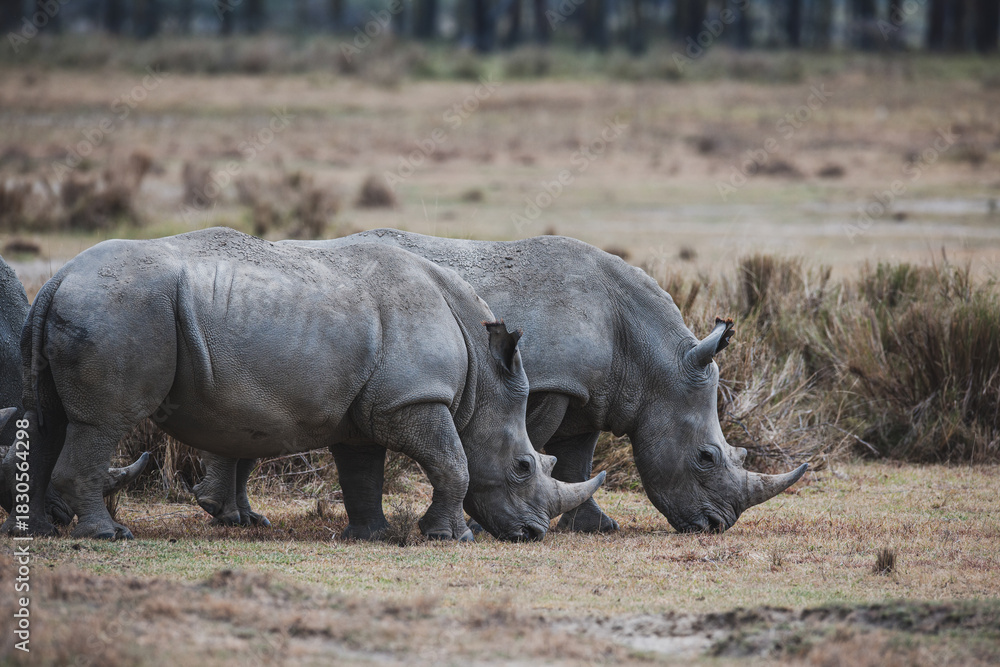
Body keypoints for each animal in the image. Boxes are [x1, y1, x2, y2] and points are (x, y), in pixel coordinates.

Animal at [1, 227, 603, 541]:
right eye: (523, 467)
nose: (534, 533)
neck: (481, 378)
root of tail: (56, 279)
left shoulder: (370, 407)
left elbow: (362, 471)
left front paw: (373, 536)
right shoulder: (414, 400)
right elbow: (453, 462)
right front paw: (449, 537)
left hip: (93, 308)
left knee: (48, 417)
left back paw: (39, 532)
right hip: (119, 309)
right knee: (101, 422)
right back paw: (107, 536)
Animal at [199, 230, 807, 534]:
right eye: (706, 457)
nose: (717, 525)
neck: (649, 359)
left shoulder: (588, 391)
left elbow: (578, 457)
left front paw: (597, 527)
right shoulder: (554, 382)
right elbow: (540, 447)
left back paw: (237, 518)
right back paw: (232, 516)